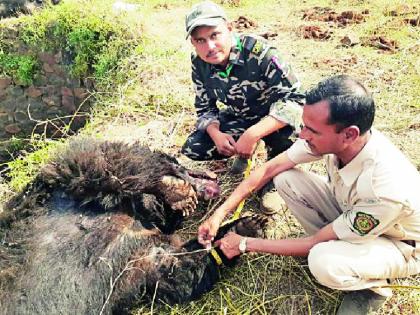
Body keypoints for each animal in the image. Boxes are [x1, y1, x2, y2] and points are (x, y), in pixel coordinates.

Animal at [0, 141, 270, 315]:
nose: (215, 174)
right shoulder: (57, 185)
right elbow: (107, 163)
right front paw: (176, 191)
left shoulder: (138, 261)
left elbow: (179, 272)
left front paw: (244, 228)